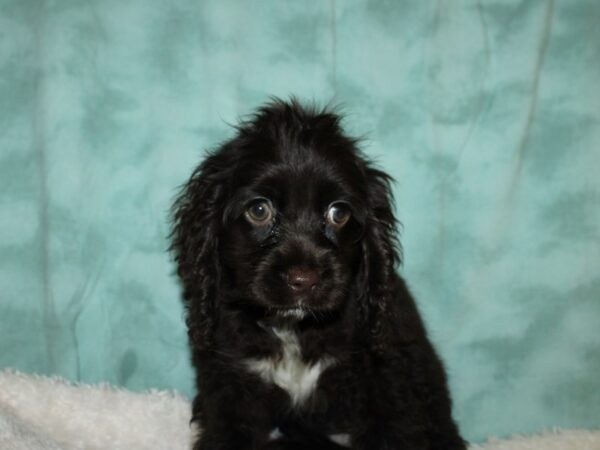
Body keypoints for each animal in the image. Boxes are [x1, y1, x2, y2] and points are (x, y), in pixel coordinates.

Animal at [171, 99, 466, 450]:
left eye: (338, 213)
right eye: (259, 210)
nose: (303, 280)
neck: (294, 329)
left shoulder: (388, 383)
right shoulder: (230, 384)